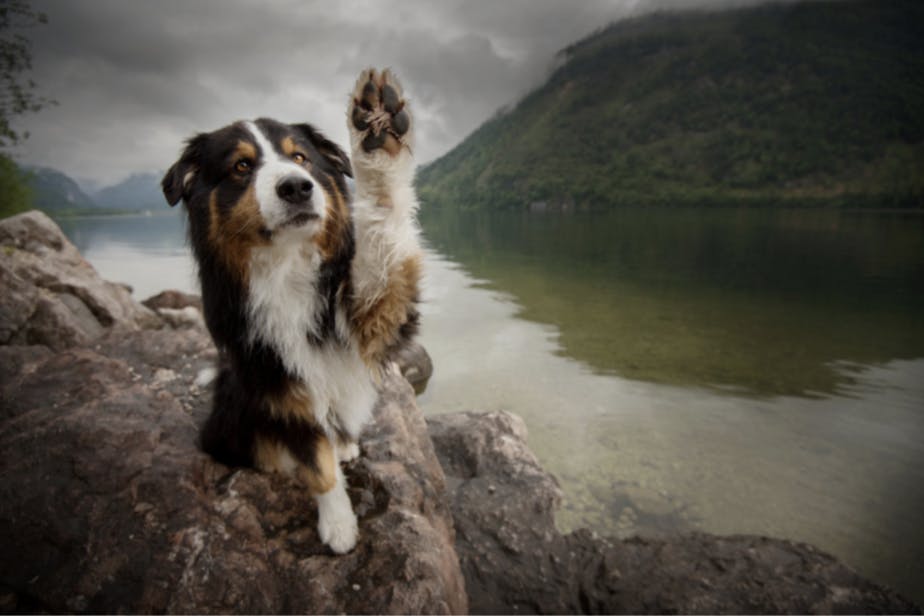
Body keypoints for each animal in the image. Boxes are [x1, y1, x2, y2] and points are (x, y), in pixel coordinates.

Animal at [162, 68, 422, 552]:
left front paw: (377, 131)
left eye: (300, 158)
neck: (286, 263)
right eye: (241, 166)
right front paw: (339, 528)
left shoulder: (371, 311)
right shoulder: (277, 380)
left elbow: (384, 228)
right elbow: (316, 463)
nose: (298, 186)